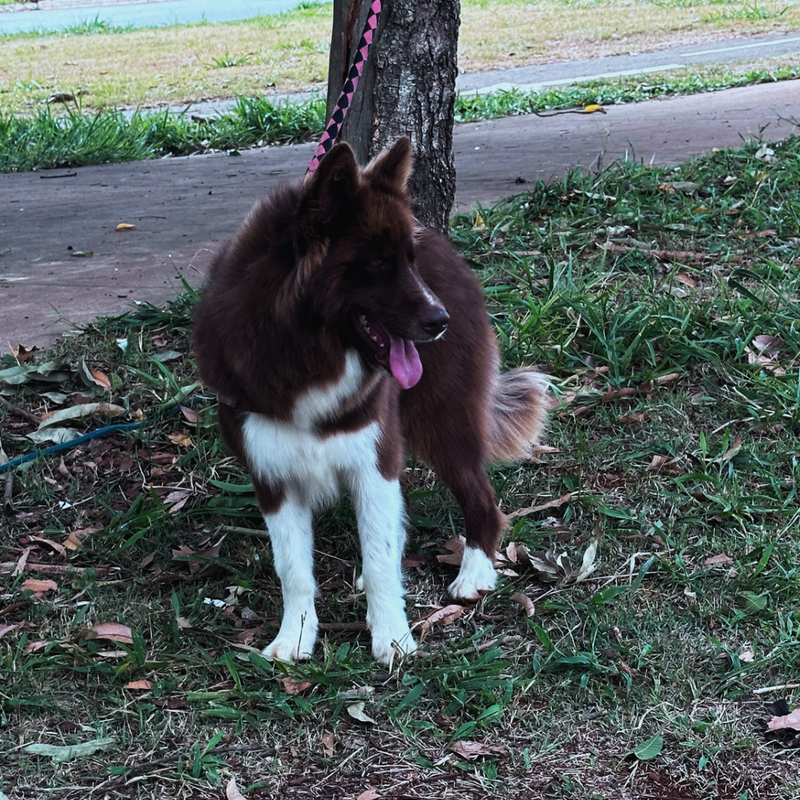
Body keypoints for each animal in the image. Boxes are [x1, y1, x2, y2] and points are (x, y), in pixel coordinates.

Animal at [193, 139, 548, 668]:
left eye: (409, 260)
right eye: (378, 263)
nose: (441, 320)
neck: (309, 349)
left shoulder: (372, 455)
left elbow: (379, 557)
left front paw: (392, 637)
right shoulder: (272, 472)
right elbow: (293, 568)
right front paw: (296, 636)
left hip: (444, 420)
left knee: (481, 499)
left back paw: (473, 574)